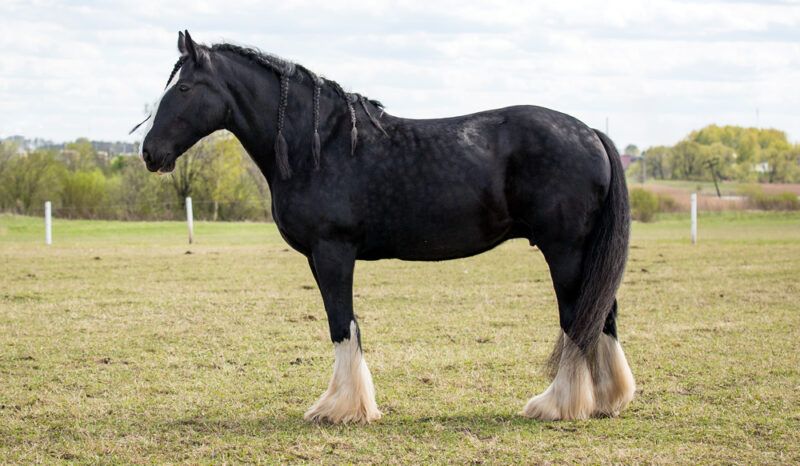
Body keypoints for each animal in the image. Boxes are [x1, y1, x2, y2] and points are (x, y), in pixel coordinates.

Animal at [137, 30, 635, 424]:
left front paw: (342, 408)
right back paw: (606, 400)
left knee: (578, 319)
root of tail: (591, 133)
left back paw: (557, 405)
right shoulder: (320, 257)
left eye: (184, 87)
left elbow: (342, 323)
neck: (319, 145)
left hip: (565, 251)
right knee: (601, 315)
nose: (149, 152)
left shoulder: (333, 251)